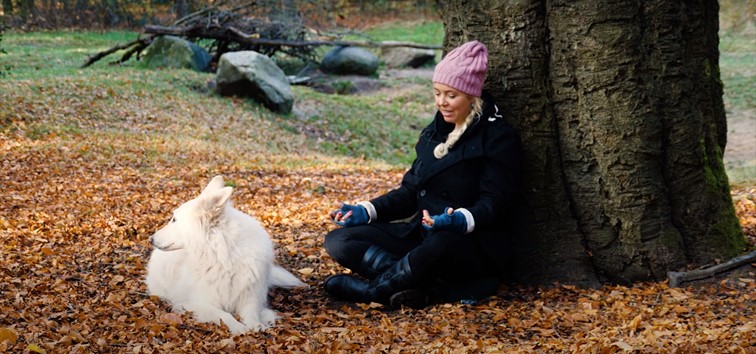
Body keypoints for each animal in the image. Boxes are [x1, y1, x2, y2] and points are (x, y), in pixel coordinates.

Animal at [145, 176, 304, 334]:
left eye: (174, 219)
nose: (150, 239)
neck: (225, 255)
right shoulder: (198, 302)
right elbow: (224, 314)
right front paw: (239, 327)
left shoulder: (250, 296)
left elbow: (251, 311)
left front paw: (255, 324)